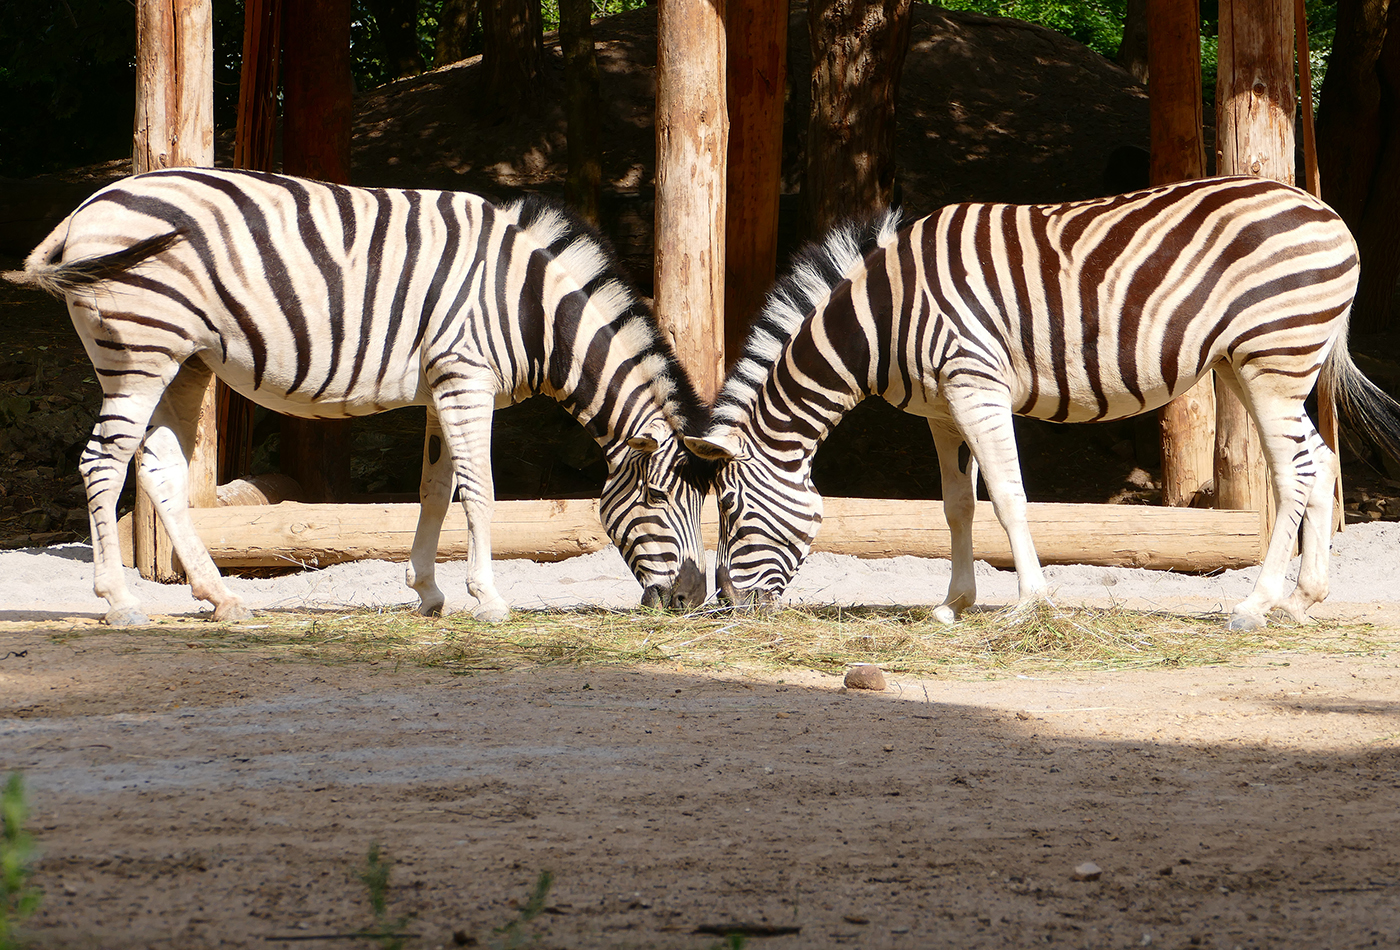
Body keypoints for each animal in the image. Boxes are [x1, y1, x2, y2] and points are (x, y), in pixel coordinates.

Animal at [8, 167, 711, 626]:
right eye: (657, 498)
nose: (692, 599)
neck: (528, 308)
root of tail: (86, 207)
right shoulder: (465, 375)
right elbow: (480, 490)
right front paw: (488, 598)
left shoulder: (441, 385)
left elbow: (436, 490)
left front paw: (428, 592)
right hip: (139, 352)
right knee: (102, 462)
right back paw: (120, 603)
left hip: (184, 362)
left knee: (159, 469)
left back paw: (222, 599)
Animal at [686, 178, 1400, 632]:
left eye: (731, 509)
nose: (729, 608)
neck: (882, 317)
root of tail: (1324, 209)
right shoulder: (941, 409)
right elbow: (956, 506)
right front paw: (953, 605)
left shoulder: (976, 383)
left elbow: (1005, 494)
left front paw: (1031, 601)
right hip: (1253, 365)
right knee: (1322, 462)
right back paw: (1303, 600)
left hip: (1274, 359)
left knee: (1294, 473)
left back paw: (1256, 605)